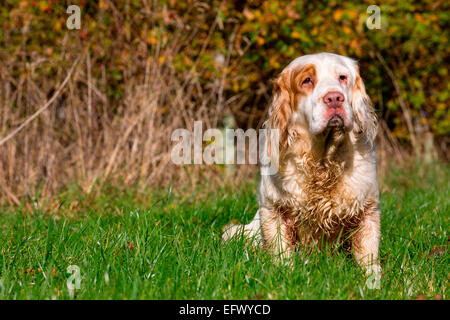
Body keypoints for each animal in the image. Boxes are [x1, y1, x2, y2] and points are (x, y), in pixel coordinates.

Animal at [223, 52, 382, 278]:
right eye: (307, 80)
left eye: (342, 77)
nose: (335, 98)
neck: (323, 162)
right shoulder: (274, 211)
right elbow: (281, 253)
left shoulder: (367, 211)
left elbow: (369, 258)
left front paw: (373, 280)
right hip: (241, 232)